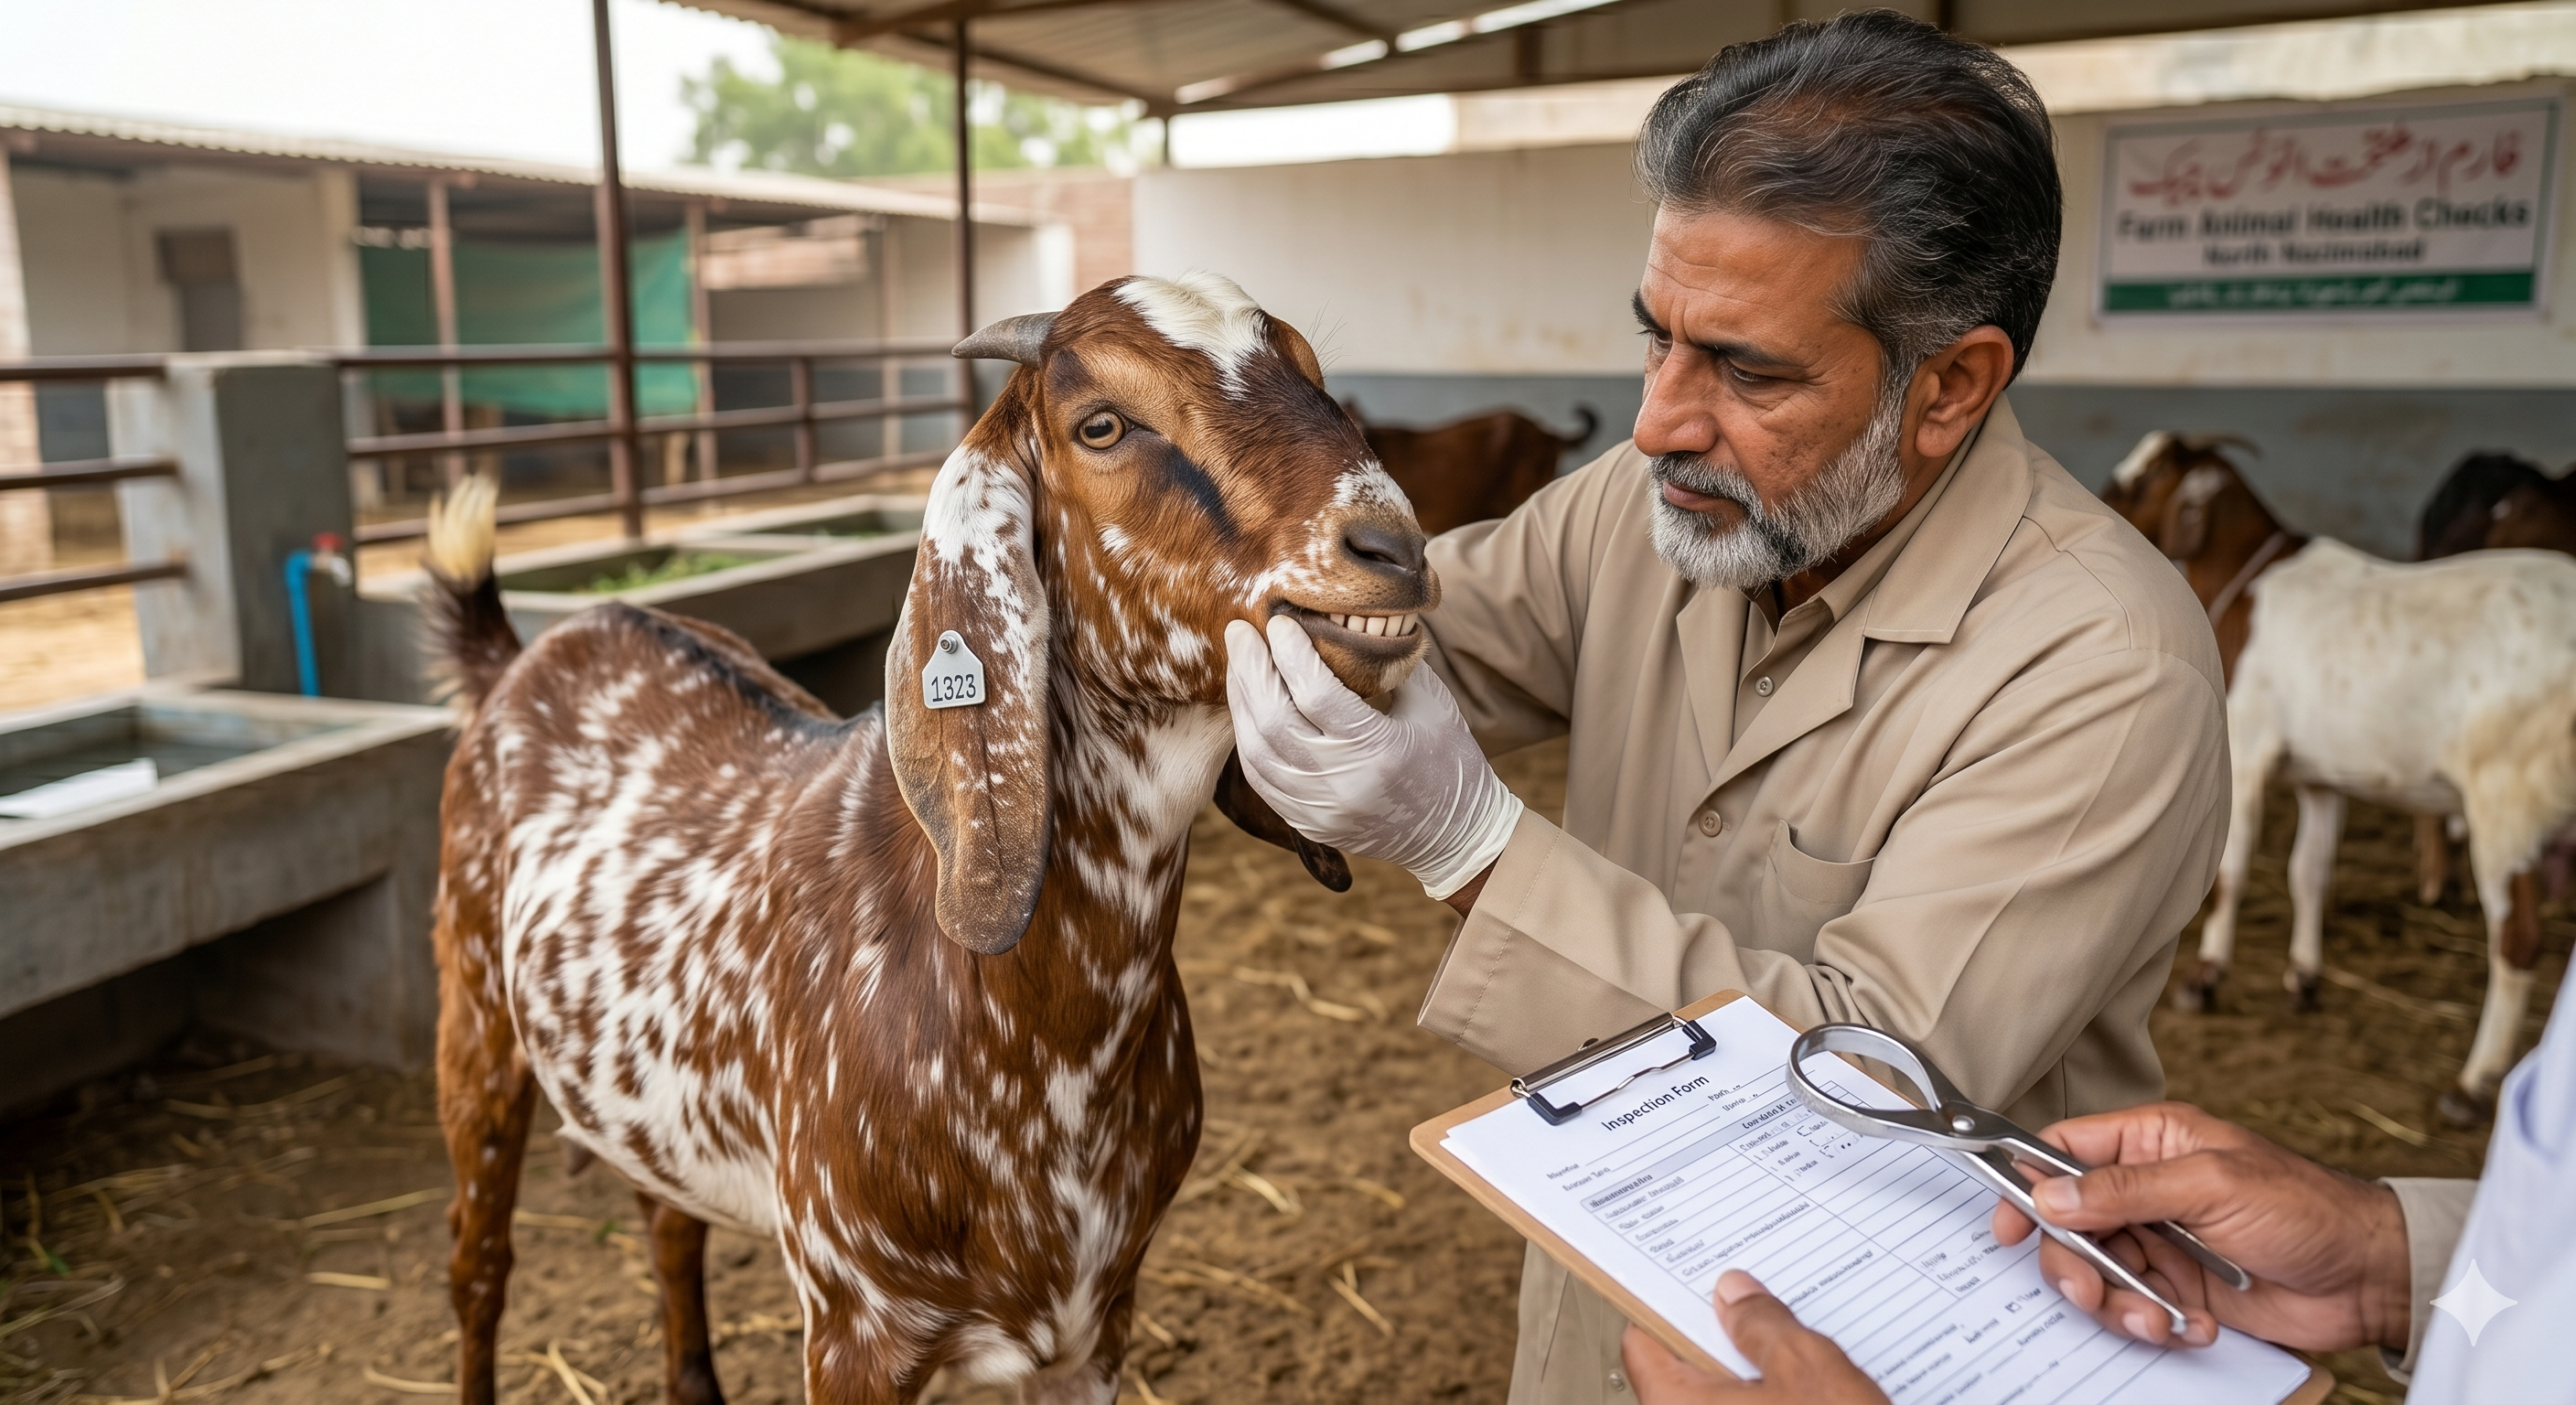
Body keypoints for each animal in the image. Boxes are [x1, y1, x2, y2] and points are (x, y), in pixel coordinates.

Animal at [423, 273, 1433, 1404]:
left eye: (1314, 375)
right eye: (1101, 423)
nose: (1392, 548)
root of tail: (525, 652)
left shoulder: (1096, 1323)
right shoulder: (852, 1324)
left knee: (667, 1222)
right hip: (472, 1019)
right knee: (478, 1262)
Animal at [2192, 540, 2576, 1122]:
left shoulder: (2245, 743)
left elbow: (2228, 877)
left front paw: (2207, 975)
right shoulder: (2320, 778)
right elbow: (2308, 874)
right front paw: (2303, 979)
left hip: (2507, 800)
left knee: (2517, 940)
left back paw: (2471, 1084)